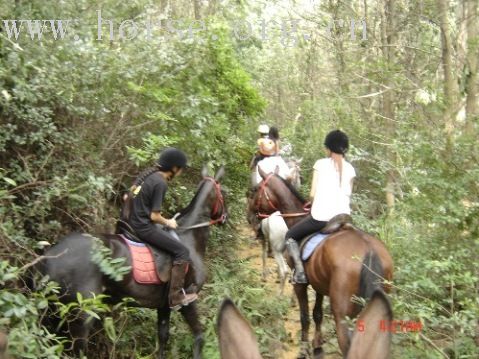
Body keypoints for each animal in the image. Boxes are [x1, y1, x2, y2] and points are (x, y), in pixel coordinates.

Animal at [35, 167, 227, 358]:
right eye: (223, 193)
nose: (226, 217)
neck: (189, 236)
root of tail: (49, 255)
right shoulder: (187, 299)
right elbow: (199, 335)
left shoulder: (164, 305)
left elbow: (163, 337)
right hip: (81, 315)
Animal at [248, 169, 394, 359]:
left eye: (256, 189)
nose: (251, 217)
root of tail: (369, 249)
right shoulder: (319, 284)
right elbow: (317, 314)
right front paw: (317, 346)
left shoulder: (300, 284)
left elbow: (304, 317)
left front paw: (304, 349)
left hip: (342, 315)